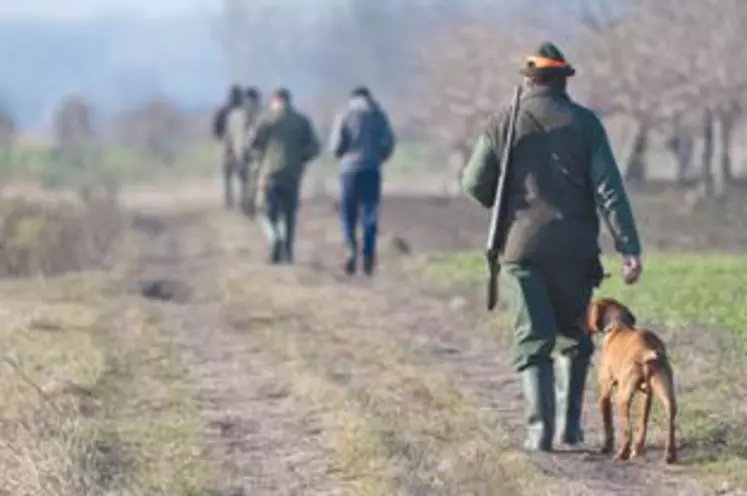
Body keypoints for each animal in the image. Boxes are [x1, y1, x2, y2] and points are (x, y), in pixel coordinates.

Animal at [588, 298, 680, 464]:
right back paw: (669, 455)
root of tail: (646, 349)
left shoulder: (604, 392)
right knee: (669, 420)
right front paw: (638, 449)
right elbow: (643, 422)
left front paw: (606, 448)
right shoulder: (646, 395)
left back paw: (622, 454)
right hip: (665, 392)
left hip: (622, 397)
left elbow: (608, 425)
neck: (618, 325)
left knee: (627, 430)